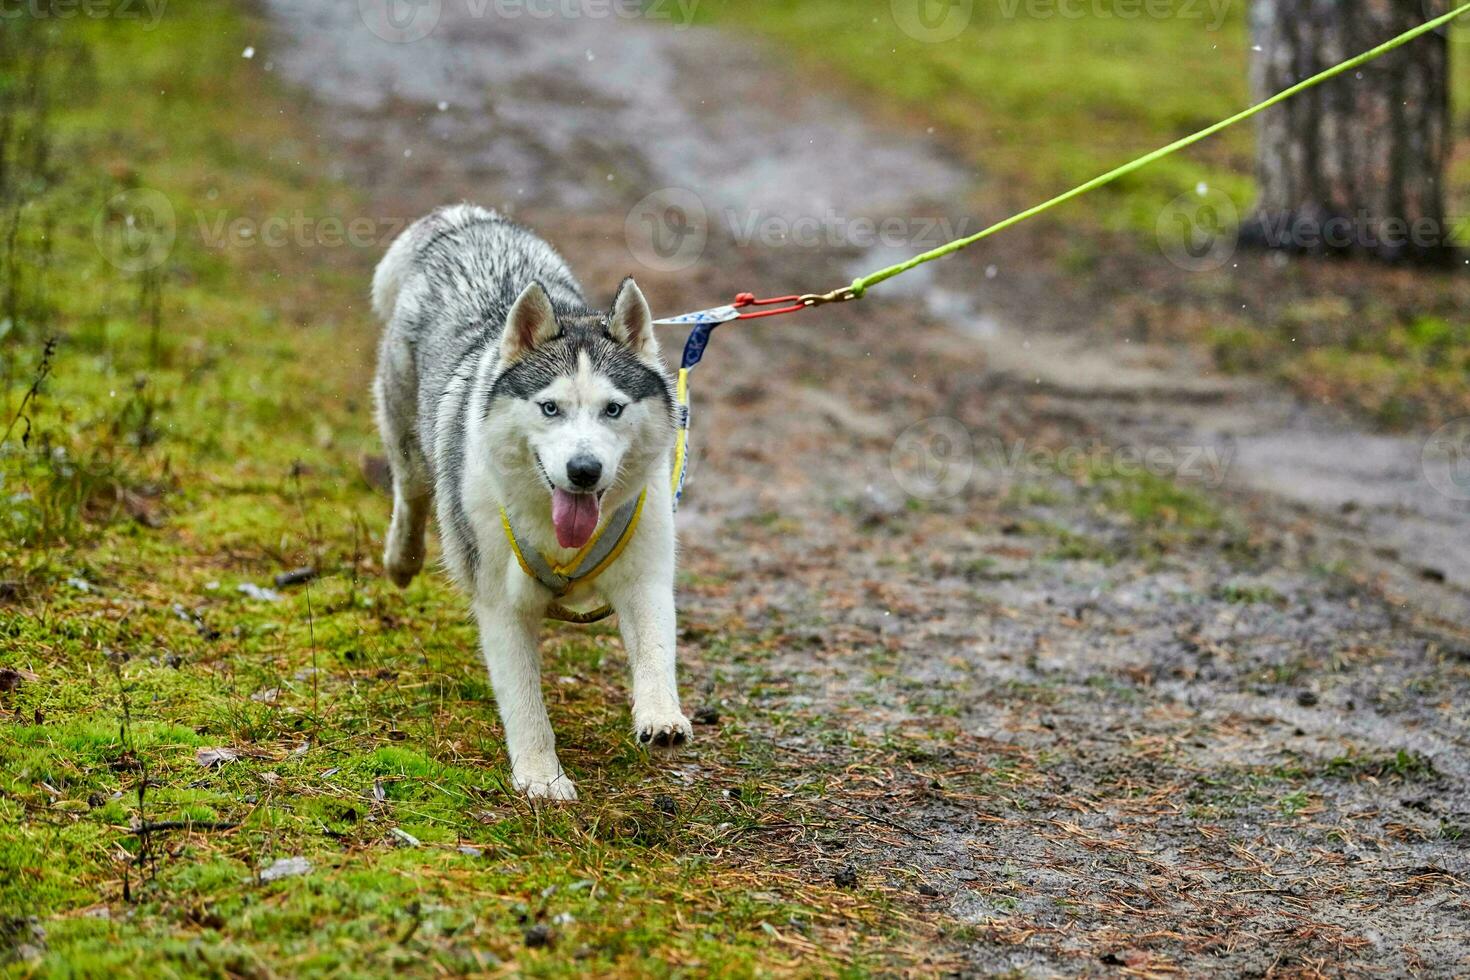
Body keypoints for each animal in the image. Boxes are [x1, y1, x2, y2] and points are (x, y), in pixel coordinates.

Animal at [367, 205, 687, 799]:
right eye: (550, 408)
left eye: (613, 409)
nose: (584, 471)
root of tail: (467, 220)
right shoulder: (502, 602)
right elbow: (524, 703)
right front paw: (541, 776)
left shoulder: (644, 572)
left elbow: (656, 647)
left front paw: (660, 715)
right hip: (410, 442)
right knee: (413, 491)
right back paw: (402, 557)